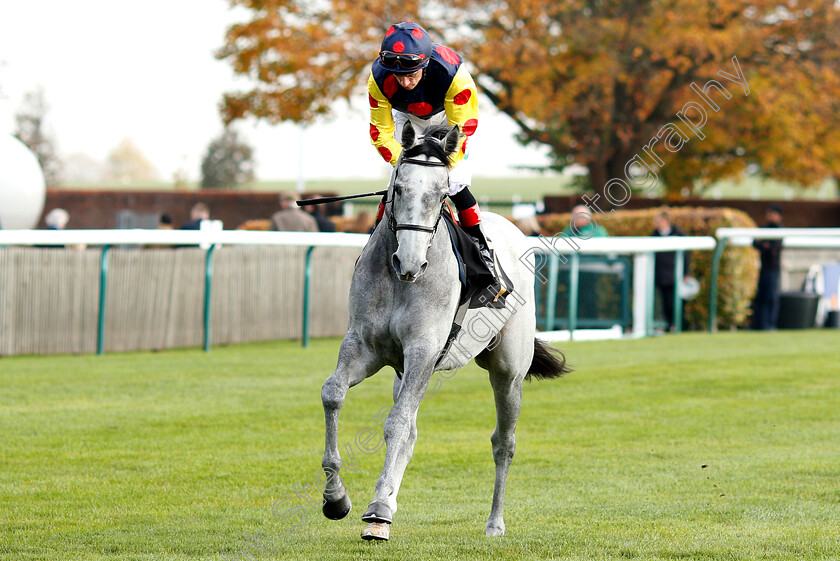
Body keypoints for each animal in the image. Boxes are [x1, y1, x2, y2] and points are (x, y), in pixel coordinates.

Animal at [322, 121, 572, 540]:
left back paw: (494, 522)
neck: (399, 282)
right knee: (410, 431)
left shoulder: (424, 350)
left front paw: (377, 509)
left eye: (441, 194)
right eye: (399, 188)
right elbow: (333, 393)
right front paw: (336, 497)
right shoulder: (365, 348)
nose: (409, 262)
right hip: (405, 371)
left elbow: (395, 423)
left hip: (508, 372)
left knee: (503, 442)